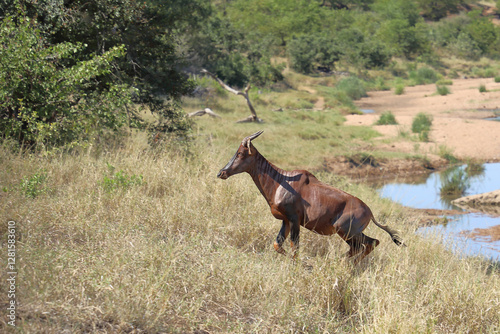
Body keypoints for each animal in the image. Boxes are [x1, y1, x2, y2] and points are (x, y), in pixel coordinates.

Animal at [217, 130, 404, 264]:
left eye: (241, 153)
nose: (222, 173)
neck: (281, 181)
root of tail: (370, 212)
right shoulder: (286, 220)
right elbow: (278, 245)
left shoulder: (294, 220)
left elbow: (295, 247)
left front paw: (304, 265)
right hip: (349, 233)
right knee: (364, 246)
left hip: (346, 231)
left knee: (370, 243)